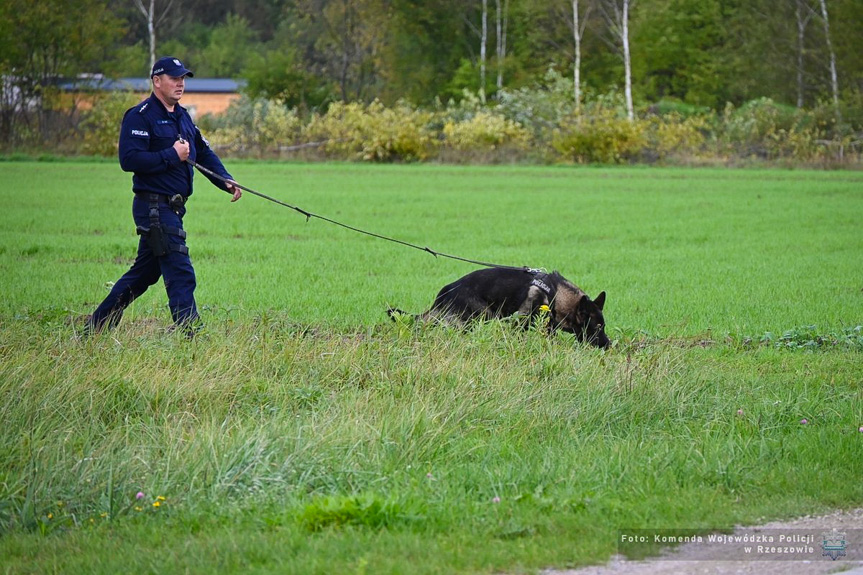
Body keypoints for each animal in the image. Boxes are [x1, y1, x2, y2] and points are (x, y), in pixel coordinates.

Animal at [388, 268, 612, 348]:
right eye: (597, 327)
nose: (608, 345)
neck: (556, 294)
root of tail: (447, 290)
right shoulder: (521, 322)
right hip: (480, 315)